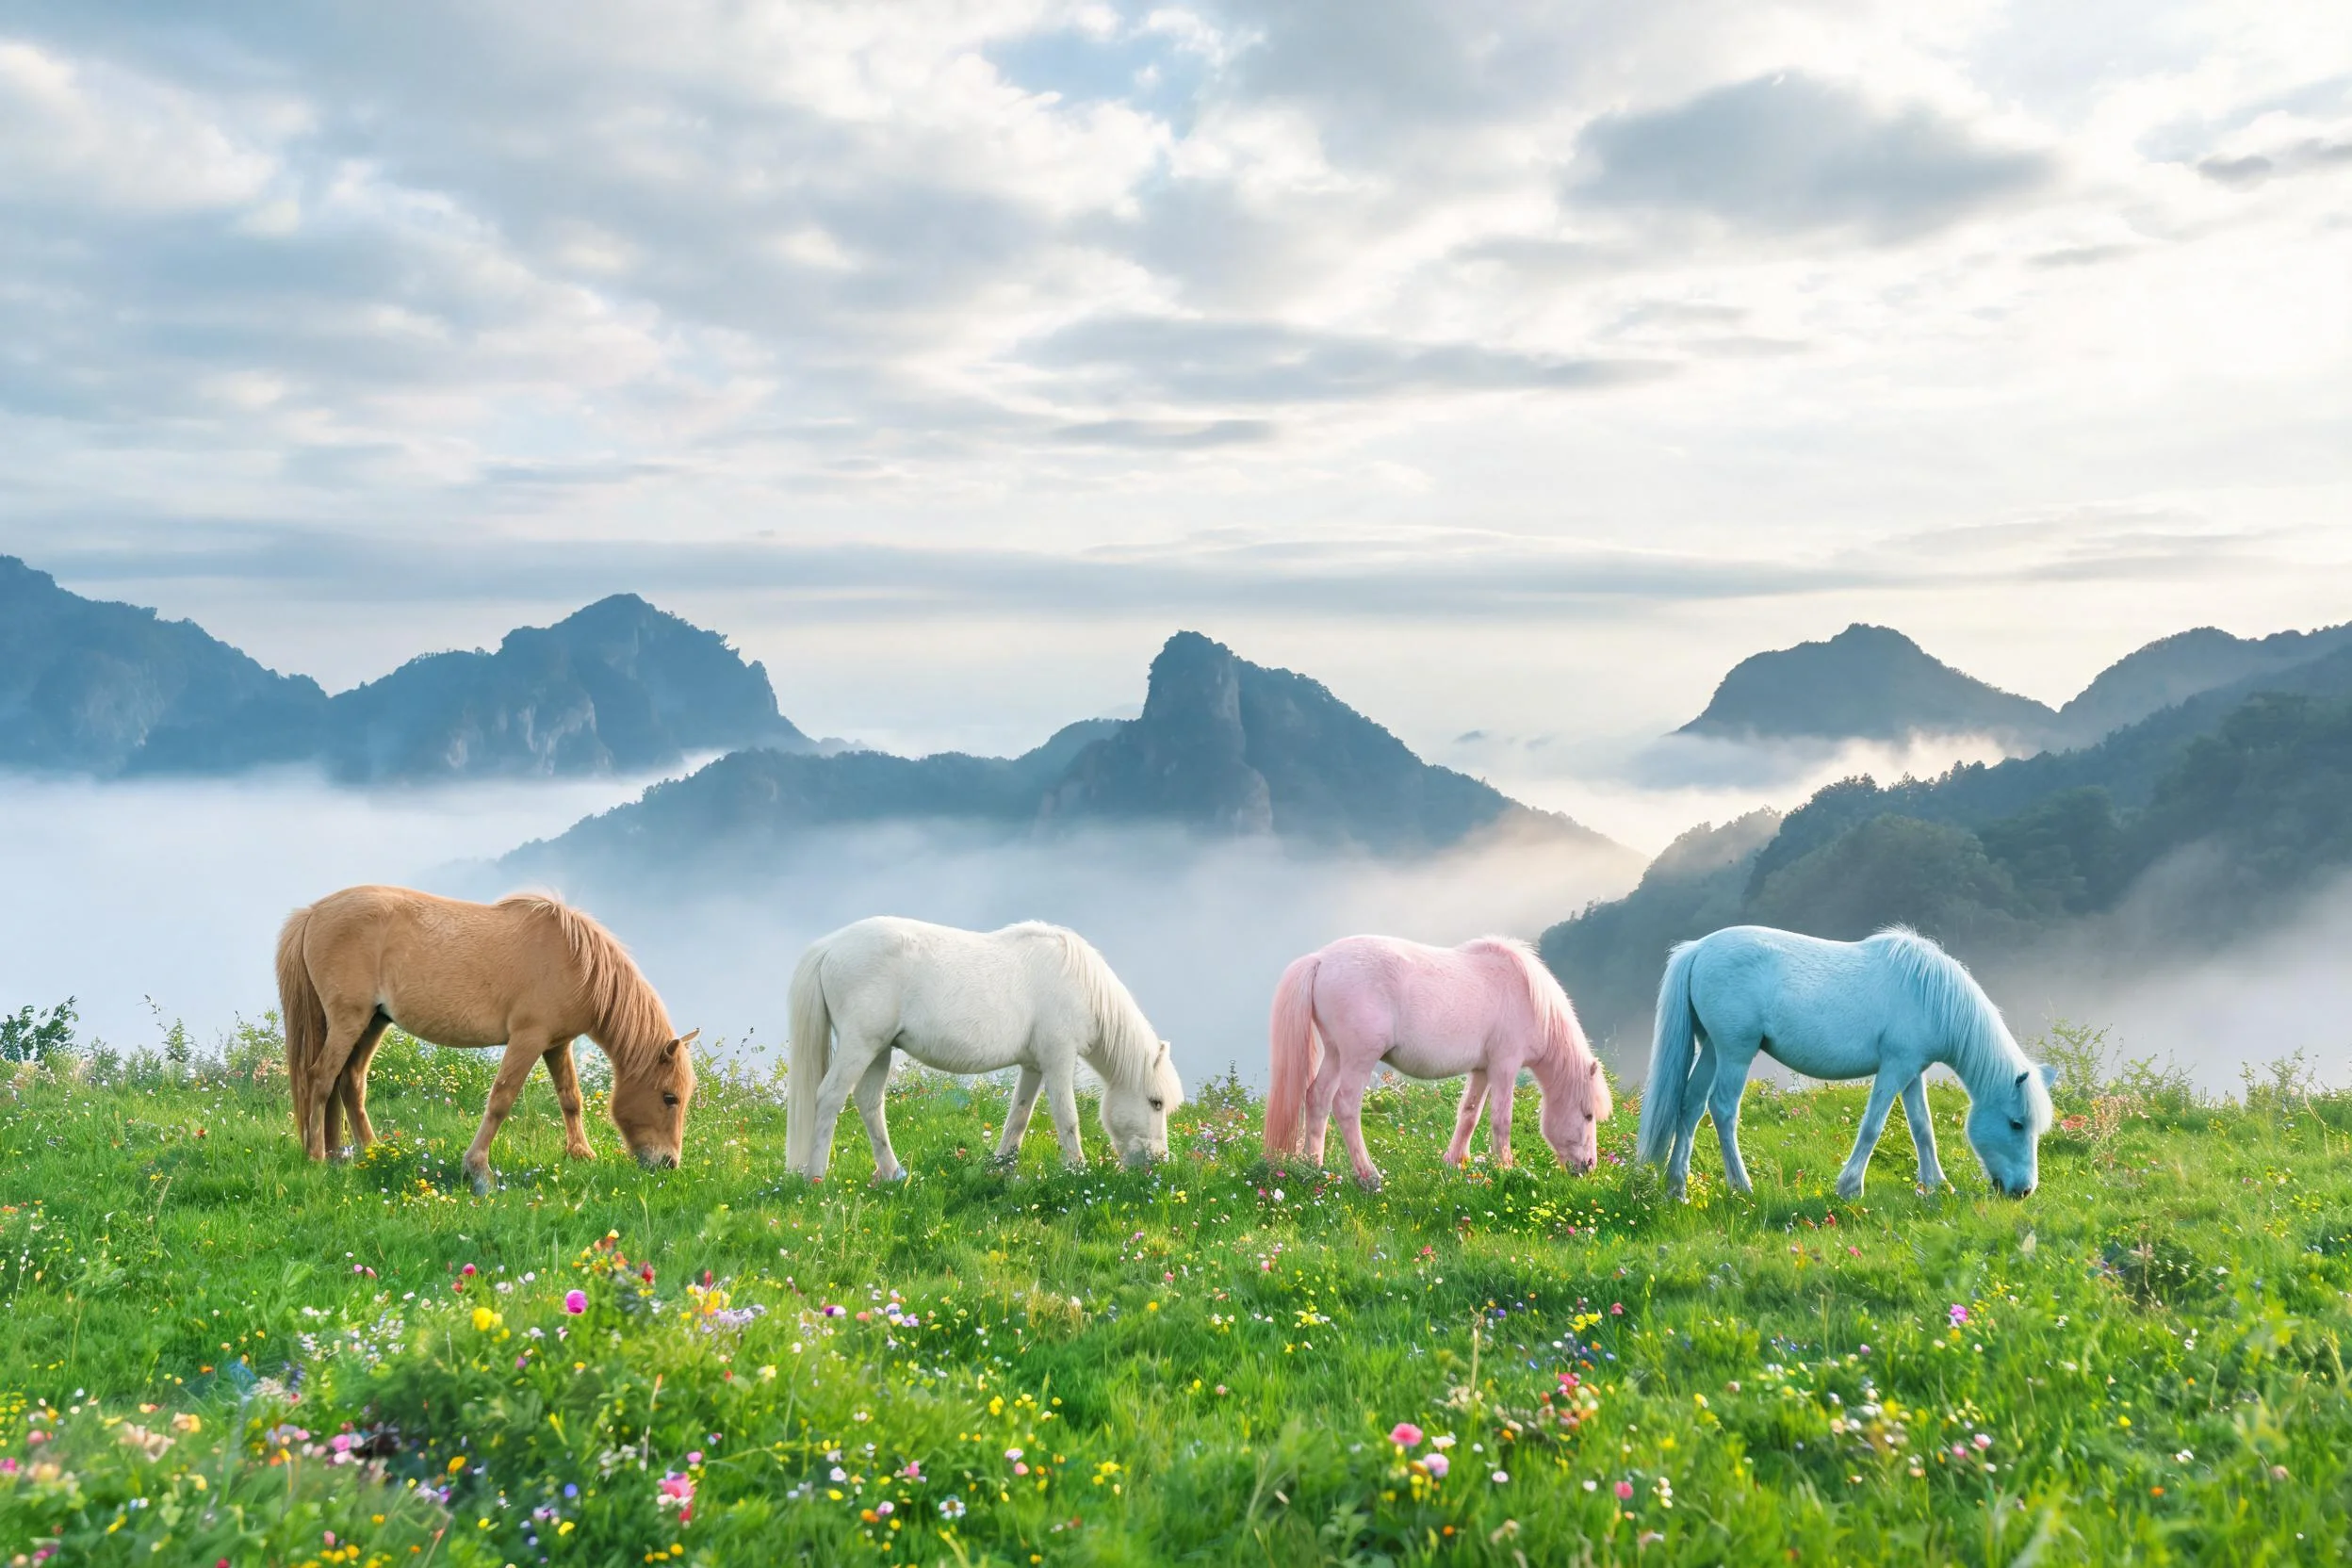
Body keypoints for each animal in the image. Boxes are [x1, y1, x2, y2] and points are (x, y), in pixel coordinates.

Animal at [276, 885, 698, 1194]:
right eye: (669, 1098)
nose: (668, 1164)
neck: (576, 961)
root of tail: (314, 912)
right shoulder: (528, 1038)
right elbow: (501, 1100)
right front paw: (479, 1171)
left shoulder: (556, 1044)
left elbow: (571, 1099)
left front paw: (581, 1154)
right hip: (350, 1020)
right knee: (321, 1078)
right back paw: (317, 1156)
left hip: (372, 1022)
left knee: (347, 1082)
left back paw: (359, 1154)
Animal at [786, 916, 1183, 1181]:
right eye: (1155, 1102)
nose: (1159, 1162)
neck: (1079, 982)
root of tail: (829, 947)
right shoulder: (1058, 1059)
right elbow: (1067, 1118)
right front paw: (1077, 1170)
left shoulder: (1034, 1066)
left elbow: (1018, 1117)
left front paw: (1001, 1168)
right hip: (860, 1045)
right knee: (830, 1097)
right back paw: (815, 1177)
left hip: (879, 1049)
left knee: (869, 1103)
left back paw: (894, 1173)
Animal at [1262, 934, 1613, 1189]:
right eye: (1588, 1115)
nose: (1588, 1167)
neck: (1527, 995)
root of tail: (1319, 959)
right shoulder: (1505, 1066)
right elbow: (1501, 1120)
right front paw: (1507, 1168)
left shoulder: (1482, 1070)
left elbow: (1469, 1114)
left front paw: (1455, 1161)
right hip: (1358, 1058)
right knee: (1345, 1106)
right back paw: (1369, 1176)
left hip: (1336, 1054)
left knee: (1317, 1098)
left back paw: (1314, 1166)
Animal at [1637, 925, 2055, 1201]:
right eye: (2016, 1124)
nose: (2024, 1190)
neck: (1928, 994)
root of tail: (1699, 948)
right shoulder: (1895, 1067)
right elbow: (1873, 1127)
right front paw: (1850, 1187)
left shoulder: (1912, 1072)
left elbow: (1922, 1128)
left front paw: (1936, 1185)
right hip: (1735, 1052)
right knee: (1722, 1110)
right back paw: (1741, 1186)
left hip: (1712, 1049)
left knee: (1690, 1107)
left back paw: (1677, 1188)